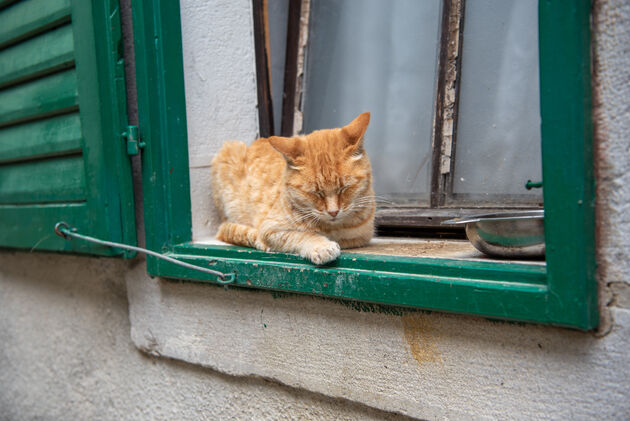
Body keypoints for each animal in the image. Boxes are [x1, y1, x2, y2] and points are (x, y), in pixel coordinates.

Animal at [210, 111, 378, 262]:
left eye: (344, 188)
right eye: (316, 193)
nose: (333, 212)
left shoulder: (361, 236)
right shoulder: (271, 228)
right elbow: (302, 235)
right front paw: (322, 246)